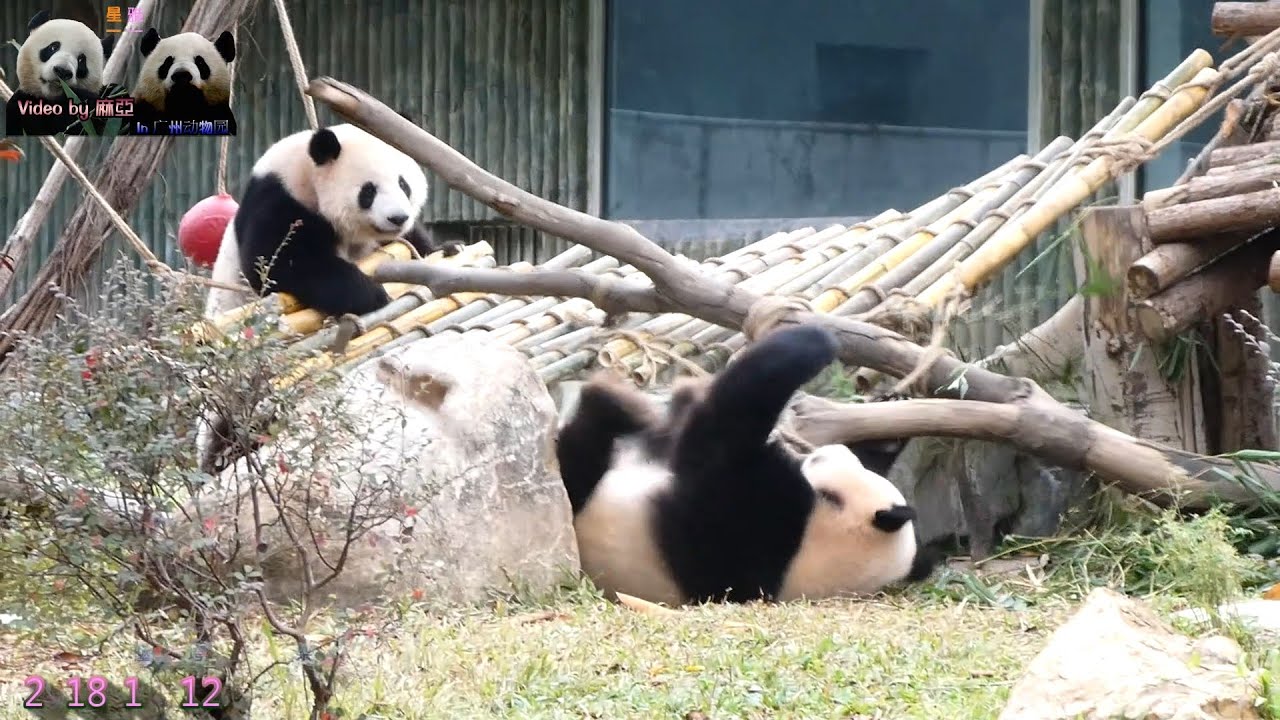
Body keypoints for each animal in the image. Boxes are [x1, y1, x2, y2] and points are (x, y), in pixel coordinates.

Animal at [555, 324, 938, 606]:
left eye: (827, 460)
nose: (825, 451)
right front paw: (892, 410)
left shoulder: (756, 520)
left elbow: (721, 433)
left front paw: (814, 341)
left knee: (582, 455)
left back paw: (612, 403)